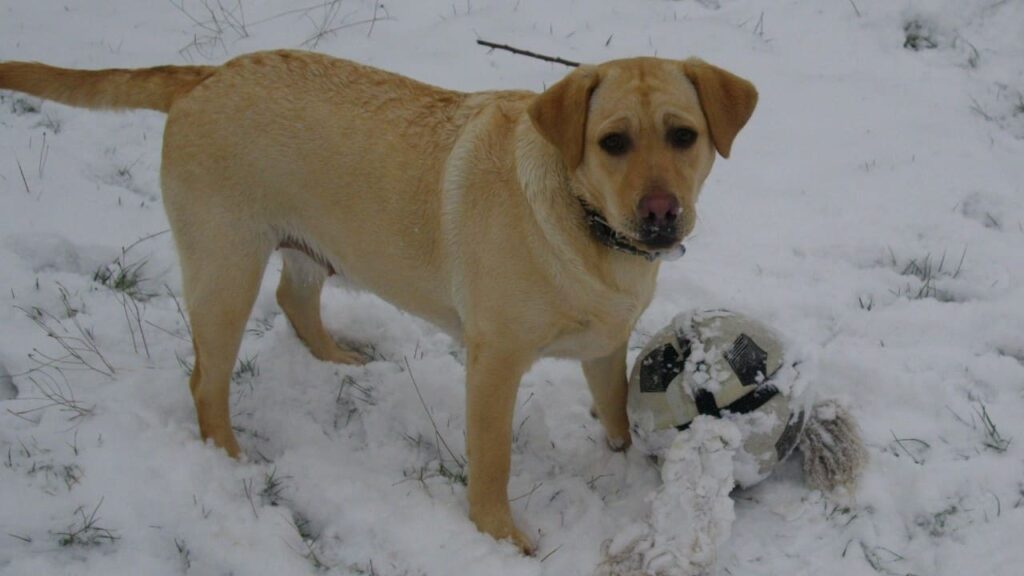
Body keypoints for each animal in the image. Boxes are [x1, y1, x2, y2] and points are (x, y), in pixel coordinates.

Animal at [0, 51, 753, 549]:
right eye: (612, 142)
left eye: (684, 135)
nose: (661, 214)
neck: (589, 223)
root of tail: (208, 73)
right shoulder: (494, 362)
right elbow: (493, 463)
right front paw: (501, 538)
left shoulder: (605, 343)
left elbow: (620, 413)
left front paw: (630, 466)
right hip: (224, 270)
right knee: (205, 380)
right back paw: (229, 459)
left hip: (307, 247)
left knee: (293, 298)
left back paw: (337, 359)